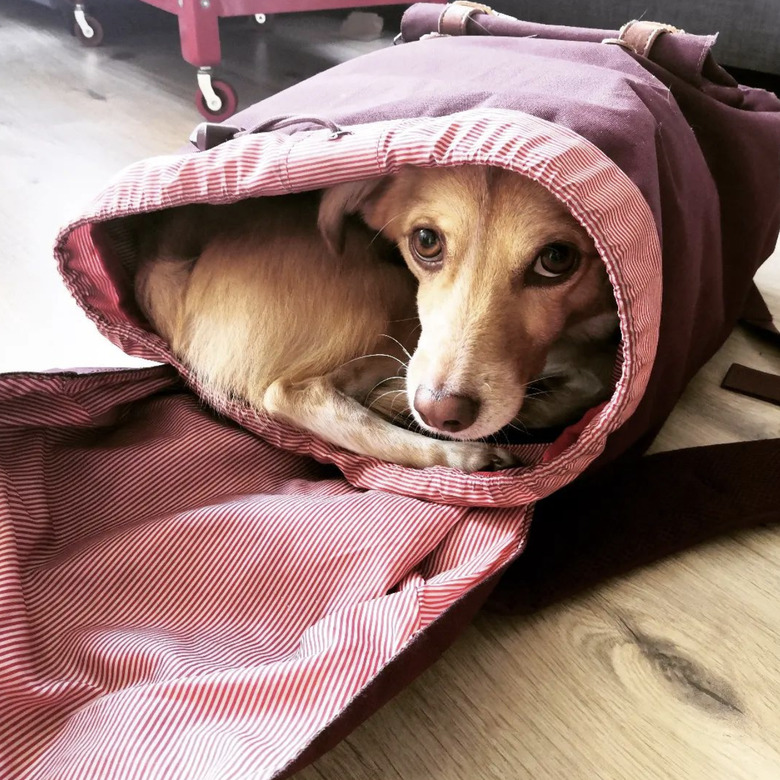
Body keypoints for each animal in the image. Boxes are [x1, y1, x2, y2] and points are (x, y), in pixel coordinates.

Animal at [137, 165, 620, 470]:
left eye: (556, 259)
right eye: (426, 241)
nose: (441, 414)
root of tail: (168, 263)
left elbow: (589, 383)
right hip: (391, 304)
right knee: (295, 393)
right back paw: (458, 454)